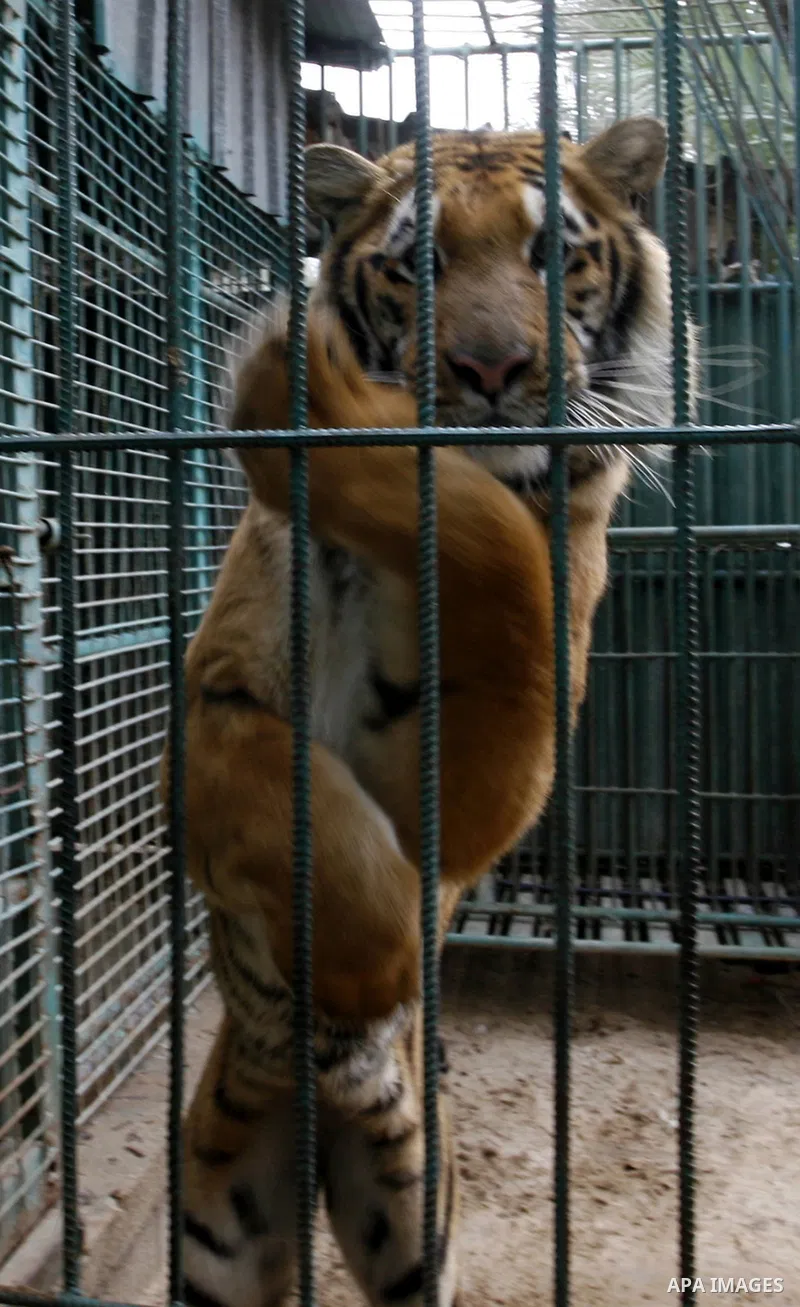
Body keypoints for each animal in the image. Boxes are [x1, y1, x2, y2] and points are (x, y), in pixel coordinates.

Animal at [160, 116, 696, 1306]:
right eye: (421, 263)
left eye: (554, 255)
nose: (490, 369)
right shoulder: (217, 697)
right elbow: (304, 813)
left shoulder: (496, 759)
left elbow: (505, 568)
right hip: (214, 1237)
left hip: (417, 1225)